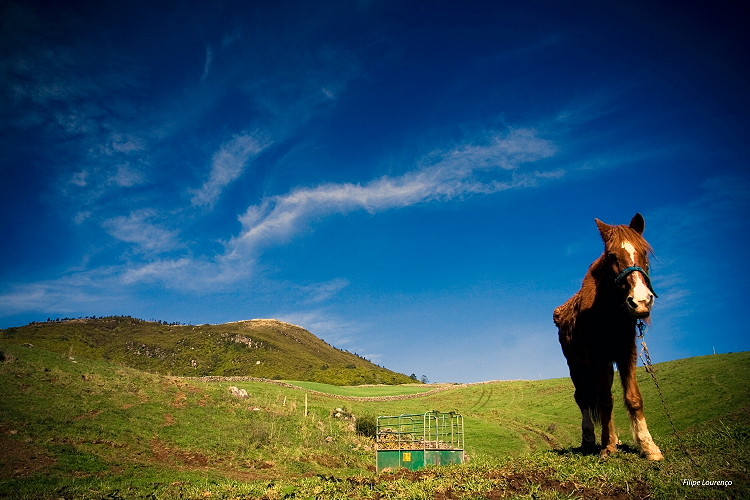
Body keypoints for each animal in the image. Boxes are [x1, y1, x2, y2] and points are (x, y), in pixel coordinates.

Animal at [556, 212, 668, 460]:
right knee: (584, 398)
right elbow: (604, 401)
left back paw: (613, 438)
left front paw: (648, 446)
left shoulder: (626, 354)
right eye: (612, 256)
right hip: (577, 365)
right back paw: (590, 440)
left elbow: (632, 399)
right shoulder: (597, 358)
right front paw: (607, 447)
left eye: (644, 252)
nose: (641, 301)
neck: (608, 313)